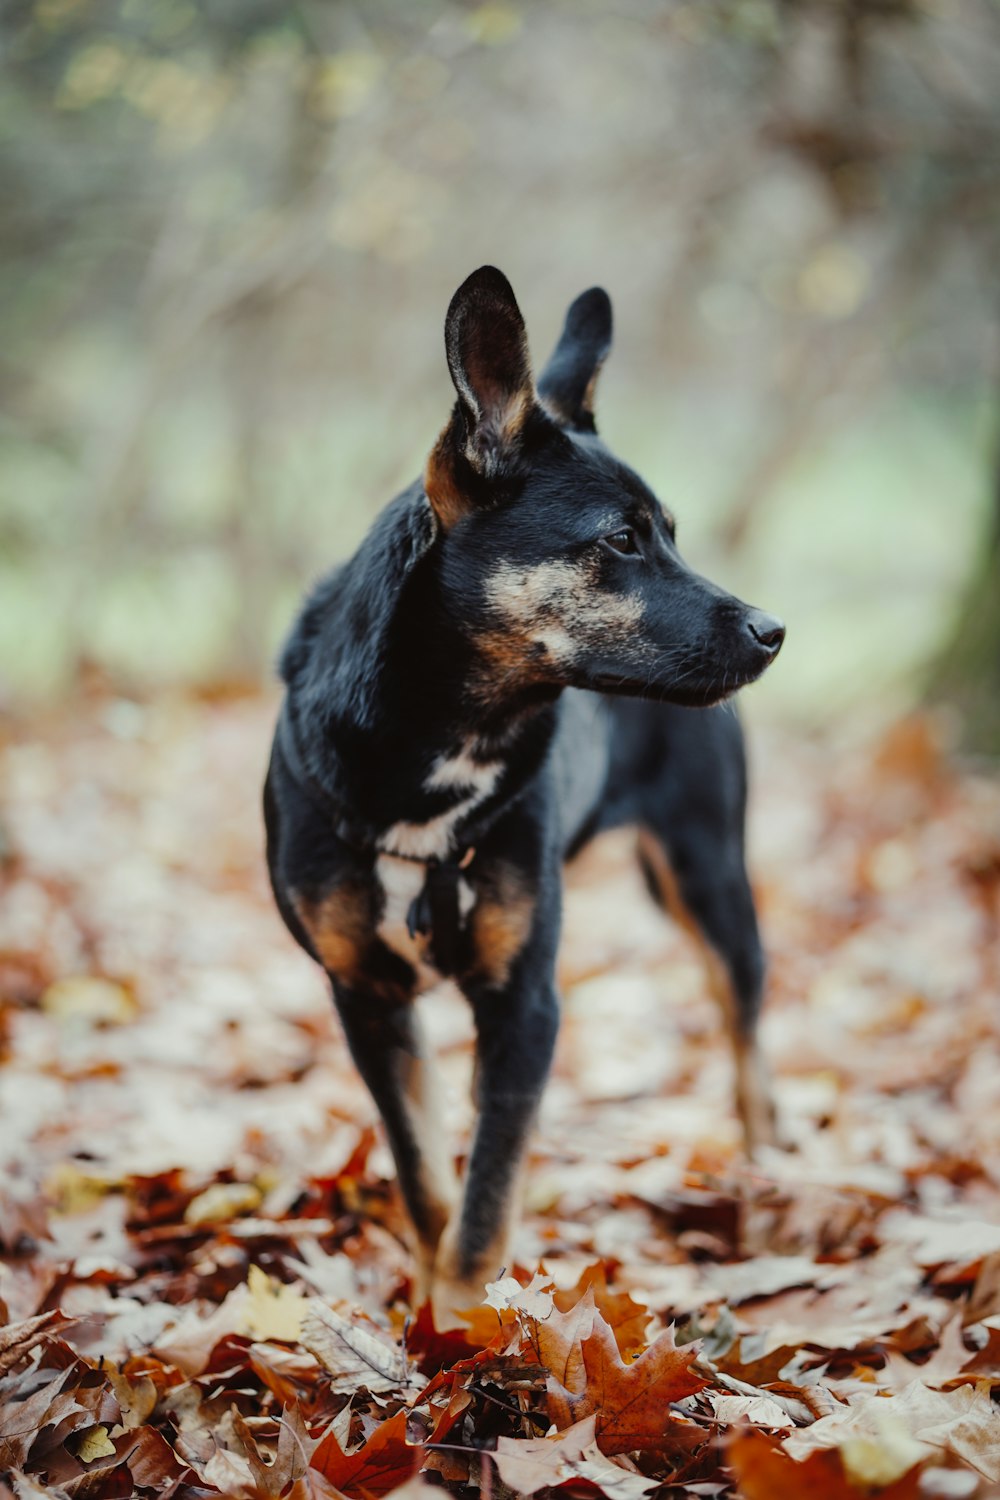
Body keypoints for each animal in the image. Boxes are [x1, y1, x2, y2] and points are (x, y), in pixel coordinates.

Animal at [265, 267, 791, 1326]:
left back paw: (765, 1173)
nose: (773, 630)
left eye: (674, 536)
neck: (445, 749)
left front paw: (468, 1332)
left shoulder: (525, 1007)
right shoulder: (367, 999)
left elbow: (486, 1202)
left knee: (747, 1035)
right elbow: (431, 1183)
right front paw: (430, 1321)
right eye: (623, 539)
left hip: (708, 875)